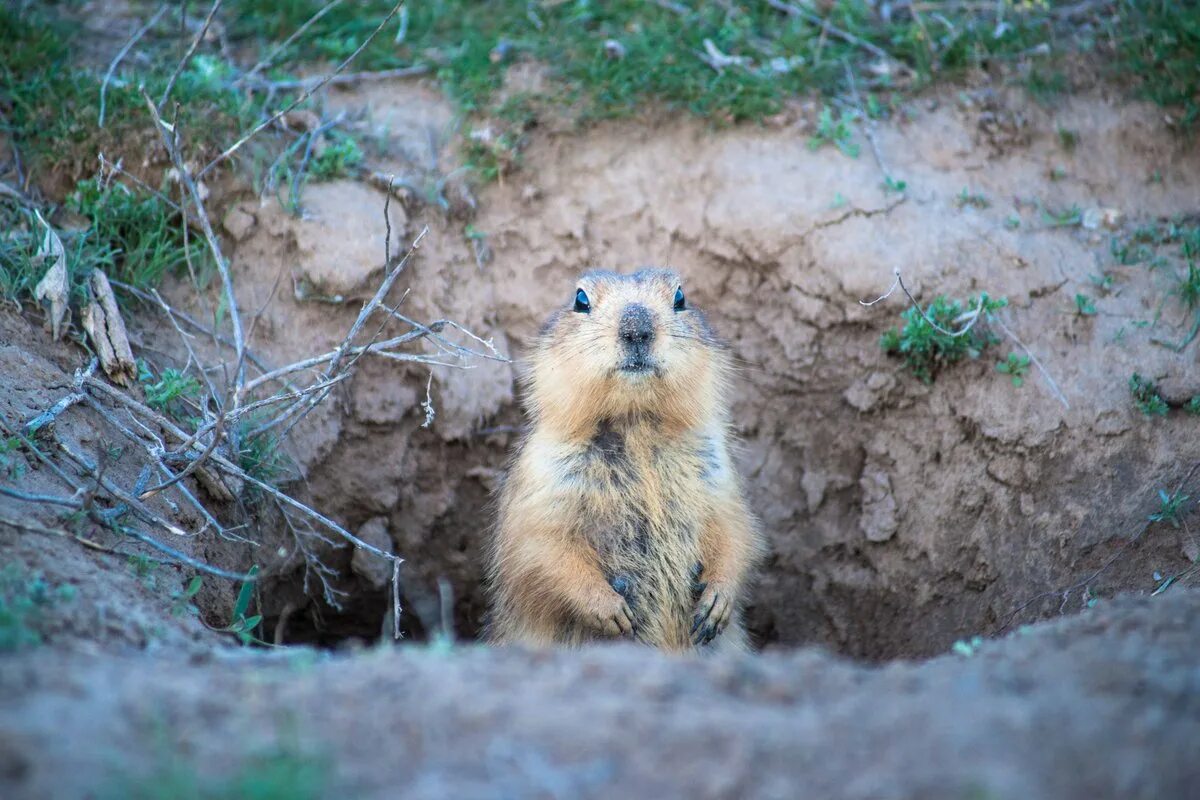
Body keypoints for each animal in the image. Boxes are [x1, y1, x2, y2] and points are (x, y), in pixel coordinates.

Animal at [484, 267, 758, 652]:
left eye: (681, 297)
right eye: (580, 299)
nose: (636, 328)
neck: (635, 422)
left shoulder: (717, 469)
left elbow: (734, 527)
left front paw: (717, 602)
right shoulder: (543, 475)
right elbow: (540, 546)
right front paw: (610, 610)